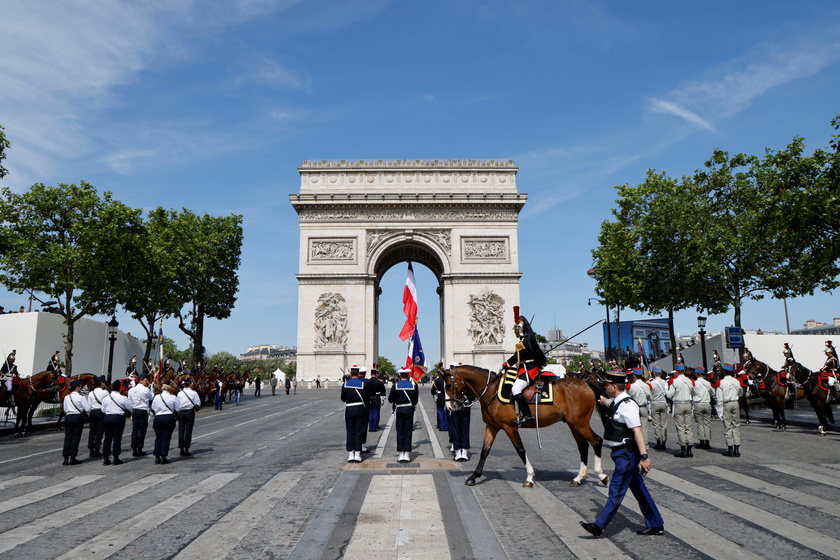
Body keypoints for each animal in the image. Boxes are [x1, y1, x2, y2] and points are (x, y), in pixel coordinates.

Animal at [442, 366, 608, 488]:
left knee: (596, 440)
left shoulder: (510, 427)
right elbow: (485, 451)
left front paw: (529, 476)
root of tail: (585, 383)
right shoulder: (492, 426)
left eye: (449, 385)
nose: (449, 407)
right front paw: (474, 476)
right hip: (573, 424)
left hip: (580, 423)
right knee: (583, 446)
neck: (492, 391)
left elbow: (520, 450)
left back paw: (601, 474)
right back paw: (579, 477)